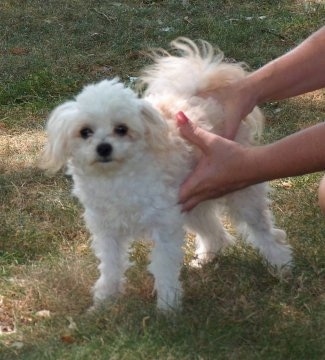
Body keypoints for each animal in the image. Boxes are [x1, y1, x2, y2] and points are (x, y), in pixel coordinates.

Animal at [40, 38, 292, 310]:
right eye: (85, 132)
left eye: (121, 129)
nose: (104, 147)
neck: (118, 179)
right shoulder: (108, 230)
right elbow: (110, 266)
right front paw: (104, 300)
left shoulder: (164, 226)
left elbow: (163, 266)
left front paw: (168, 306)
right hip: (193, 202)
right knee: (216, 233)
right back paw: (206, 258)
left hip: (240, 193)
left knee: (264, 231)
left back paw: (281, 264)